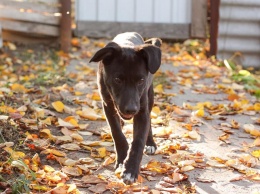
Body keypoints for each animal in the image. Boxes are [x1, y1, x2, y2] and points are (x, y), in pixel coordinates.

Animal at [90, 32, 161, 185]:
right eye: (117, 79)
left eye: (141, 80)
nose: (131, 110)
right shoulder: (108, 105)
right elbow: (117, 132)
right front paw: (122, 159)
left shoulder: (142, 110)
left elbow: (138, 140)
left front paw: (130, 170)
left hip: (150, 97)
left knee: (149, 122)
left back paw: (150, 143)